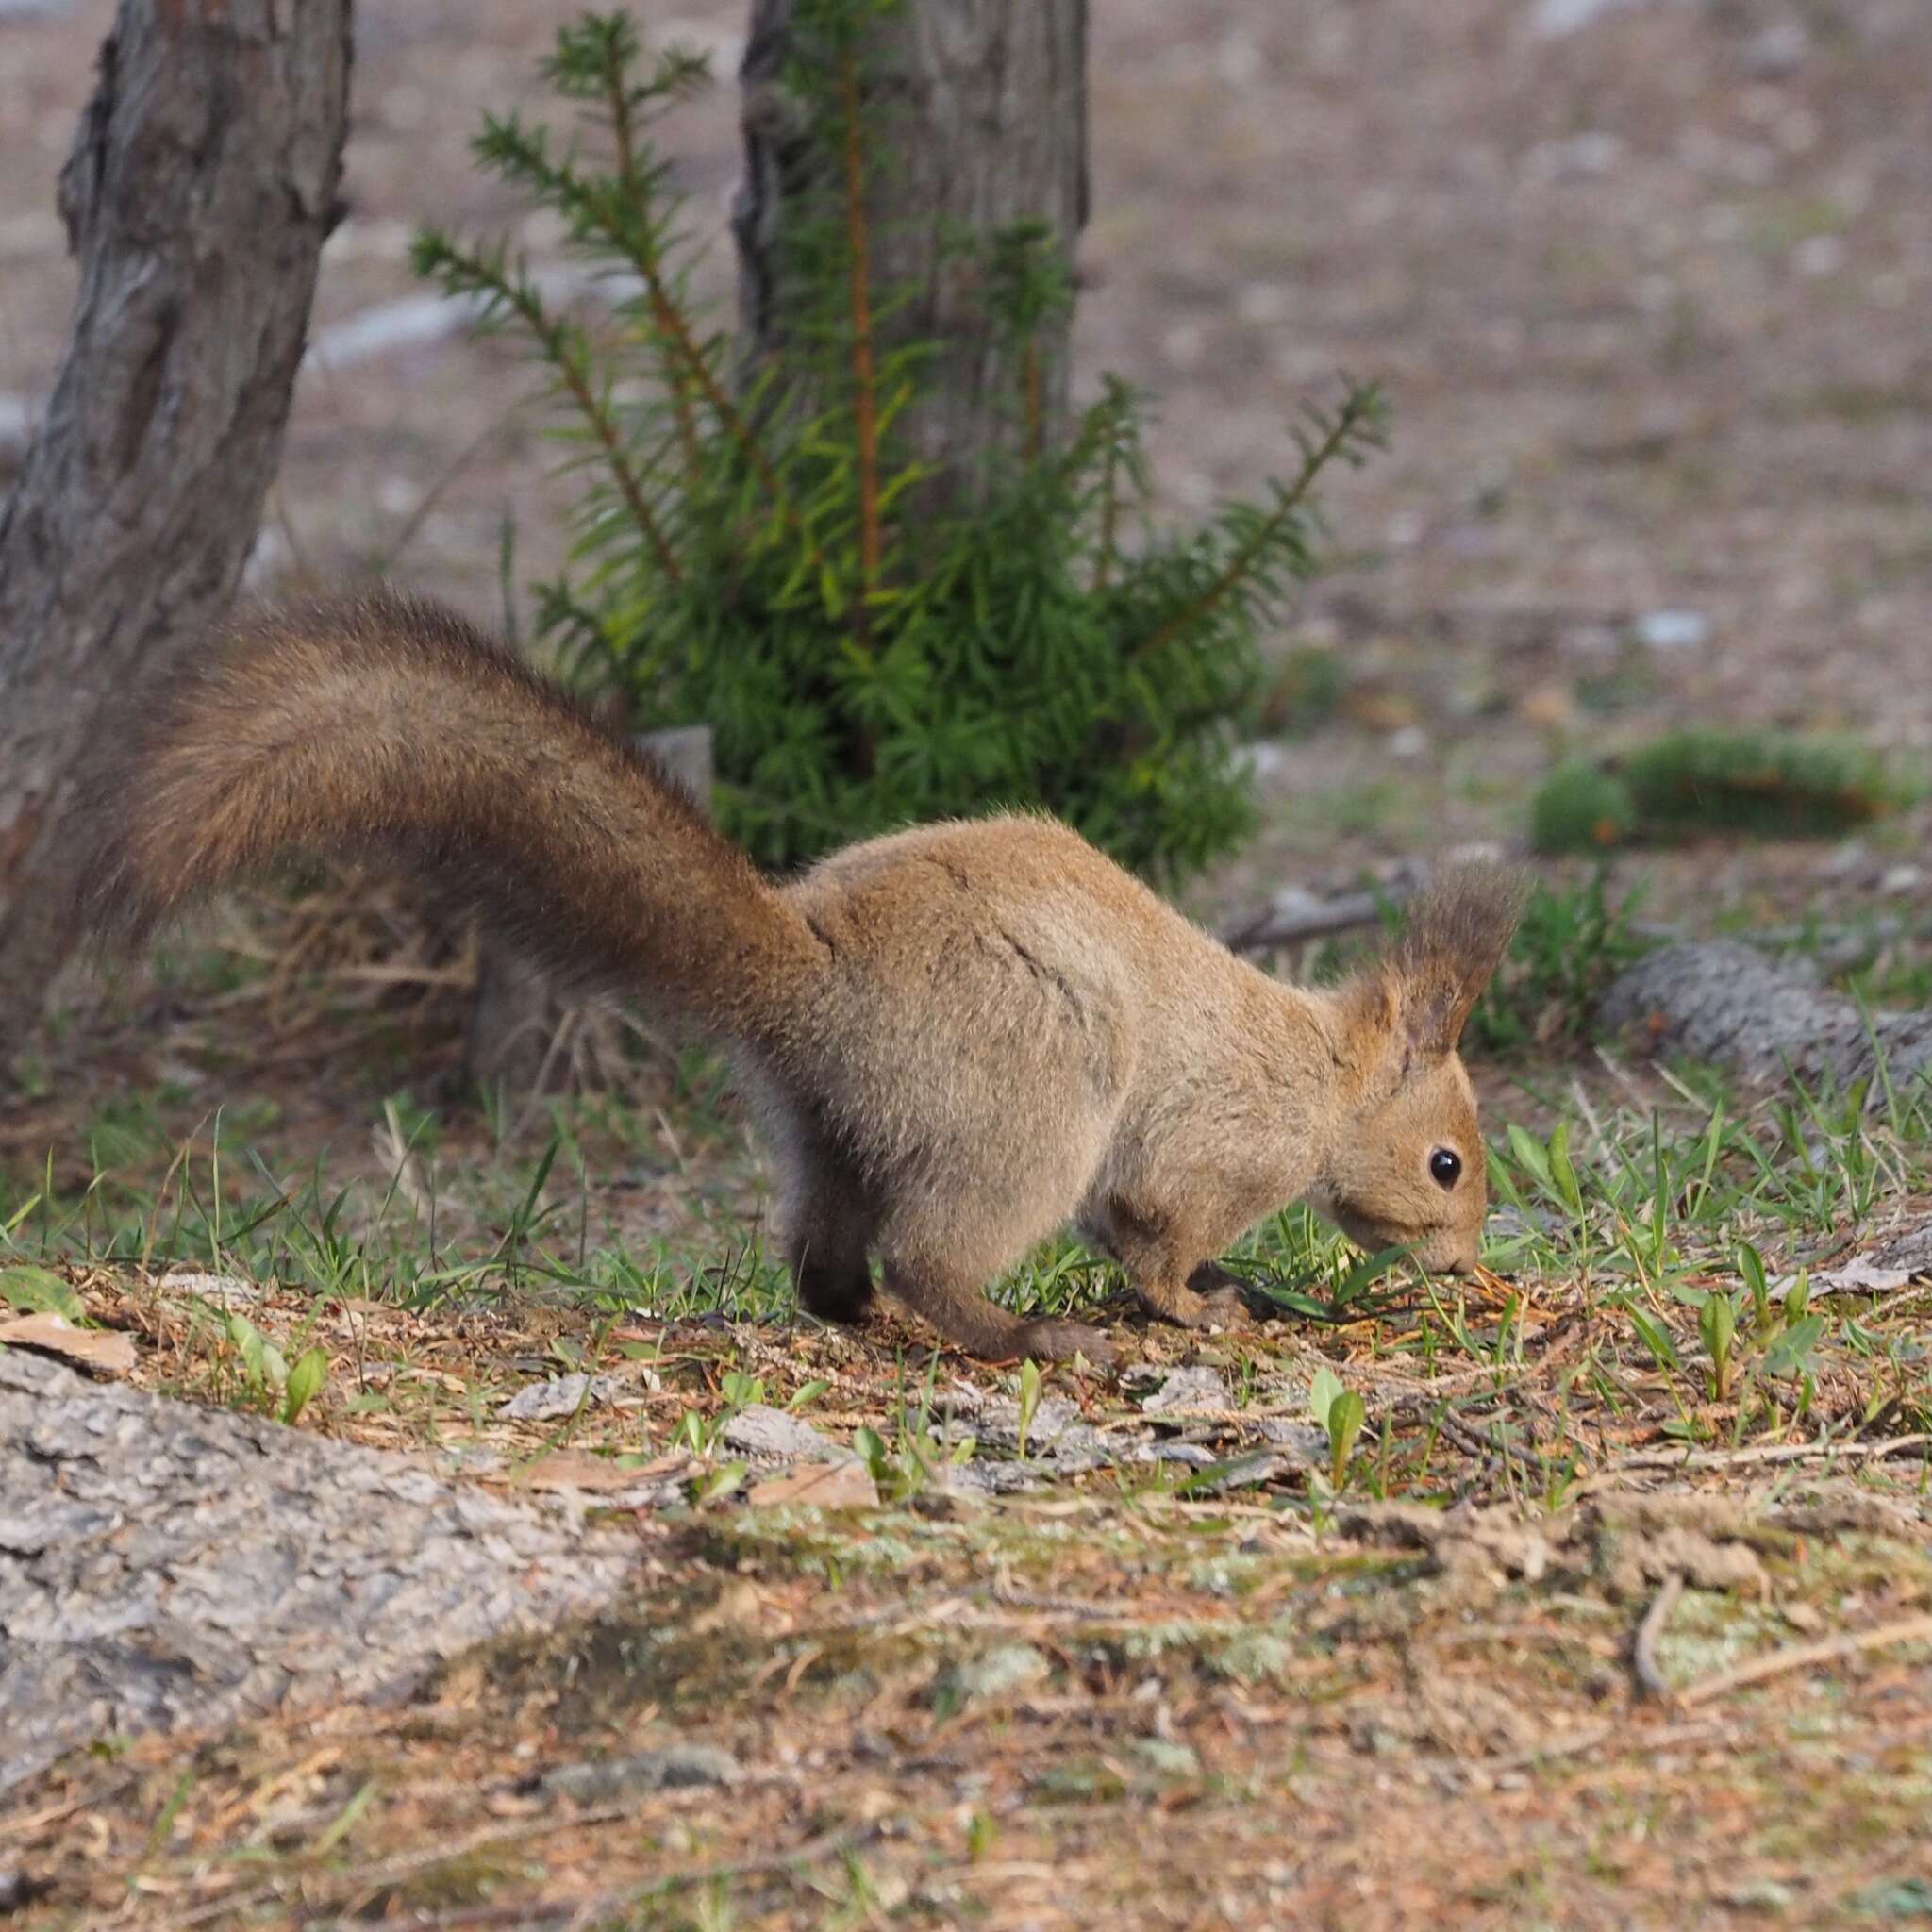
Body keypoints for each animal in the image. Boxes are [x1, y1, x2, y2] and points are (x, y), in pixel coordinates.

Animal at [78, 594, 1522, 1367]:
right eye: (1445, 1163)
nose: (1465, 1263)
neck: (1318, 1077)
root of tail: (814, 981)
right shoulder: (1216, 1148)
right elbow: (1157, 1237)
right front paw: (1197, 1306)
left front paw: (1240, 1290)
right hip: (1028, 1105)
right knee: (935, 1252)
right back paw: (1022, 1336)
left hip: (827, 1128)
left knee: (825, 1260)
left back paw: (865, 1311)